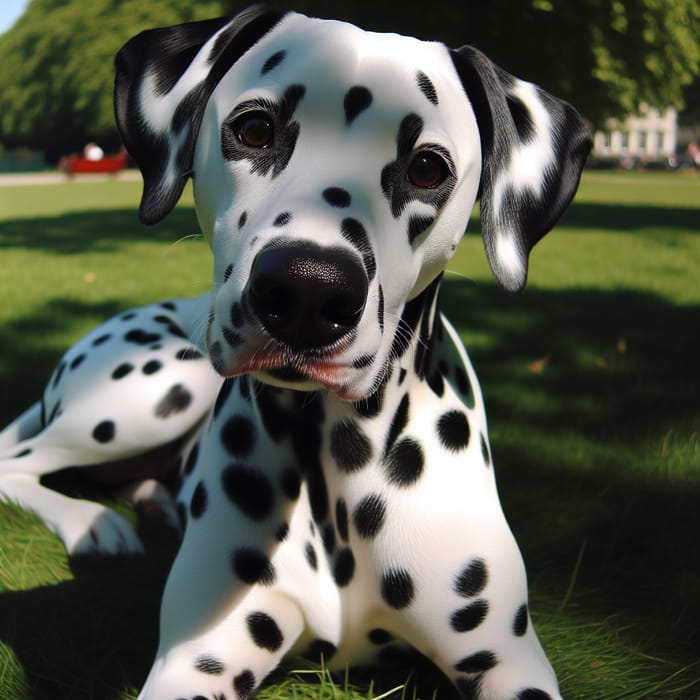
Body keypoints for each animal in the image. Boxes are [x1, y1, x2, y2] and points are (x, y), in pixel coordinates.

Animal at [1, 5, 592, 700]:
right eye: (255, 129)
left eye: (427, 167)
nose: (309, 288)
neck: (340, 459)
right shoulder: (196, 661)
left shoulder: (508, 660)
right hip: (158, 389)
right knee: (18, 462)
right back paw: (94, 524)